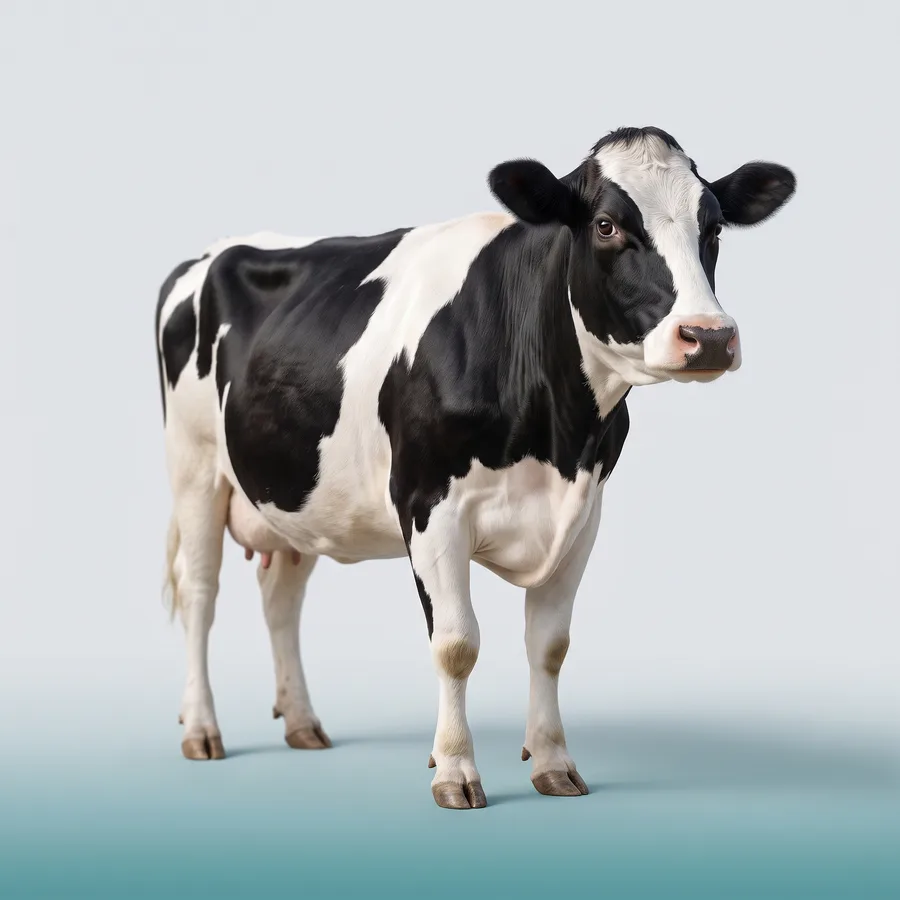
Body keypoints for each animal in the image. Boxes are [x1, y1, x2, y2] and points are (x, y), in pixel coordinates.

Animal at [155, 126, 795, 809]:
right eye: (605, 225)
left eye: (714, 226)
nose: (709, 336)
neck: (557, 437)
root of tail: (212, 252)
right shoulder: (430, 506)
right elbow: (457, 644)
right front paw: (455, 770)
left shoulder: (583, 515)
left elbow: (550, 646)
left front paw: (553, 762)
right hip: (194, 469)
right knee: (200, 594)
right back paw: (200, 729)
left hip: (295, 493)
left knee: (281, 597)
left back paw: (302, 723)